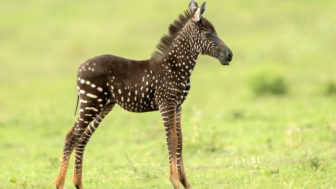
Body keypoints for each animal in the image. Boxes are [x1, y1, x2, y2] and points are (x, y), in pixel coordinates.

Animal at [55, 0, 234, 188]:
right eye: (208, 34)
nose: (230, 55)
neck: (175, 66)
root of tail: (80, 67)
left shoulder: (178, 106)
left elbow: (180, 141)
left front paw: (185, 182)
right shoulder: (166, 104)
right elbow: (172, 139)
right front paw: (175, 181)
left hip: (104, 105)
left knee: (82, 138)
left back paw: (78, 183)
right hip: (91, 103)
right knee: (71, 136)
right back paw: (59, 183)